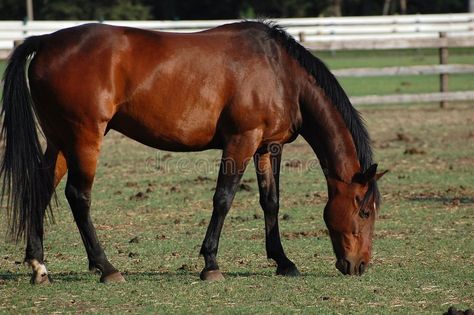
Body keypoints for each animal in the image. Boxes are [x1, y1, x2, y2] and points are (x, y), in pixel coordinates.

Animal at [0, 21, 386, 286]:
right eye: (365, 211)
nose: (361, 265)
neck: (280, 73)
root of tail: (45, 41)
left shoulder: (267, 146)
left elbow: (271, 202)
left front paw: (283, 262)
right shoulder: (241, 141)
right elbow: (223, 199)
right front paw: (211, 264)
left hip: (60, 140)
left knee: (41, 188)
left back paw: (39, 266)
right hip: (84, 138)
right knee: (78, 196)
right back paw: (106, 268)